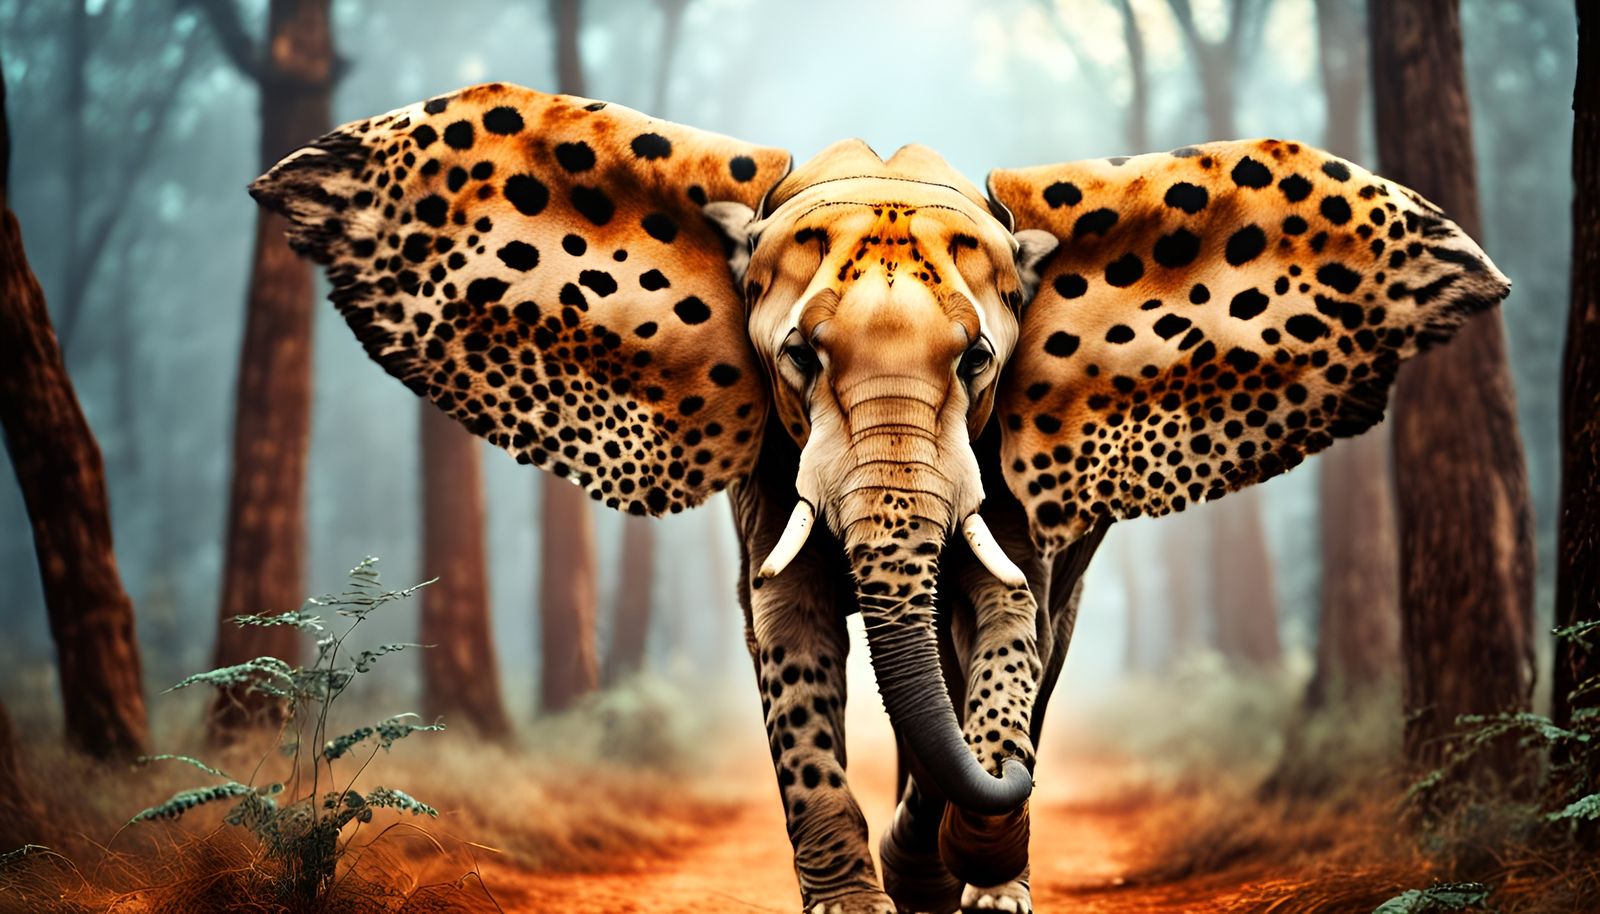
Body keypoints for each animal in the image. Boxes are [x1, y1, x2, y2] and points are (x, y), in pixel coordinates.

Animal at [250, 82, 1510, 913]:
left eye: (980, 359)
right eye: (800, 358)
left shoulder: (1009, 470)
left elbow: (1004, 630)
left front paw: (969, 865)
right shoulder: (770, 465)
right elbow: (791, 632)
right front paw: (868, 893)